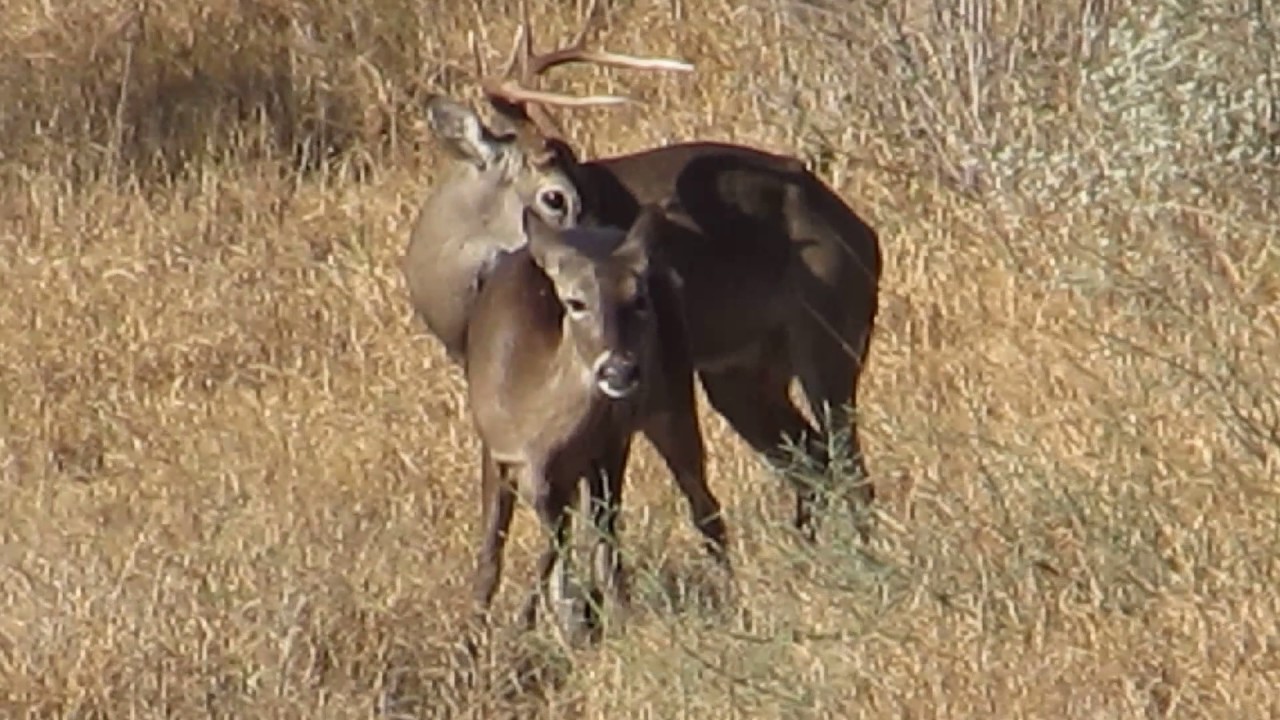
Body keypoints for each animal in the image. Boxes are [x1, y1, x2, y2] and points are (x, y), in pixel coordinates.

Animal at [403, 1, 883, 545]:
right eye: (555, 196)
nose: (617, 253)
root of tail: (861, 233)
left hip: (827, 339)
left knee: (848, 465)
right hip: (740, 372)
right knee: (811, 458)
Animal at [464, 201, 726, 637]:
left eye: (639, 300)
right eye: (575, 303)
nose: (619, 370)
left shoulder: (605, 445)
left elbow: (575, 545)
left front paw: (527, 624)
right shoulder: (499, 452)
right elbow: (491, 560)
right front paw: (472, 643)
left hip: (671, 402)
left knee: (702, 508)